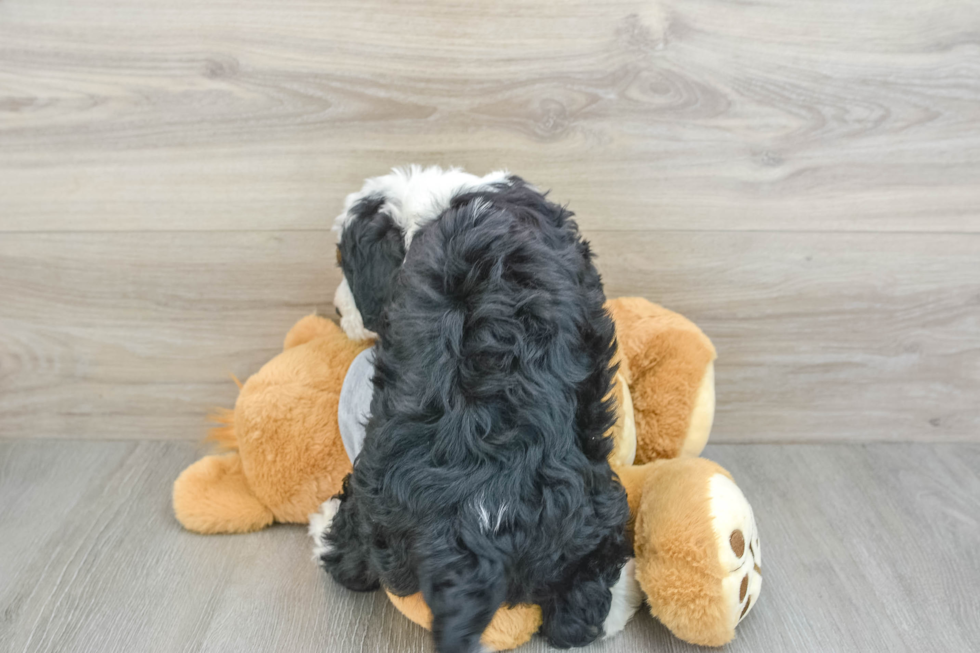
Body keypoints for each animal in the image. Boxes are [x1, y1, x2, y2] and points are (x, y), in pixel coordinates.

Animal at [316, 167, 636, 652]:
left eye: (344, 264)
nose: (336, 311)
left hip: (375, 499)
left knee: (352, 562)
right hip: (593, 508)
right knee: (579, 608)